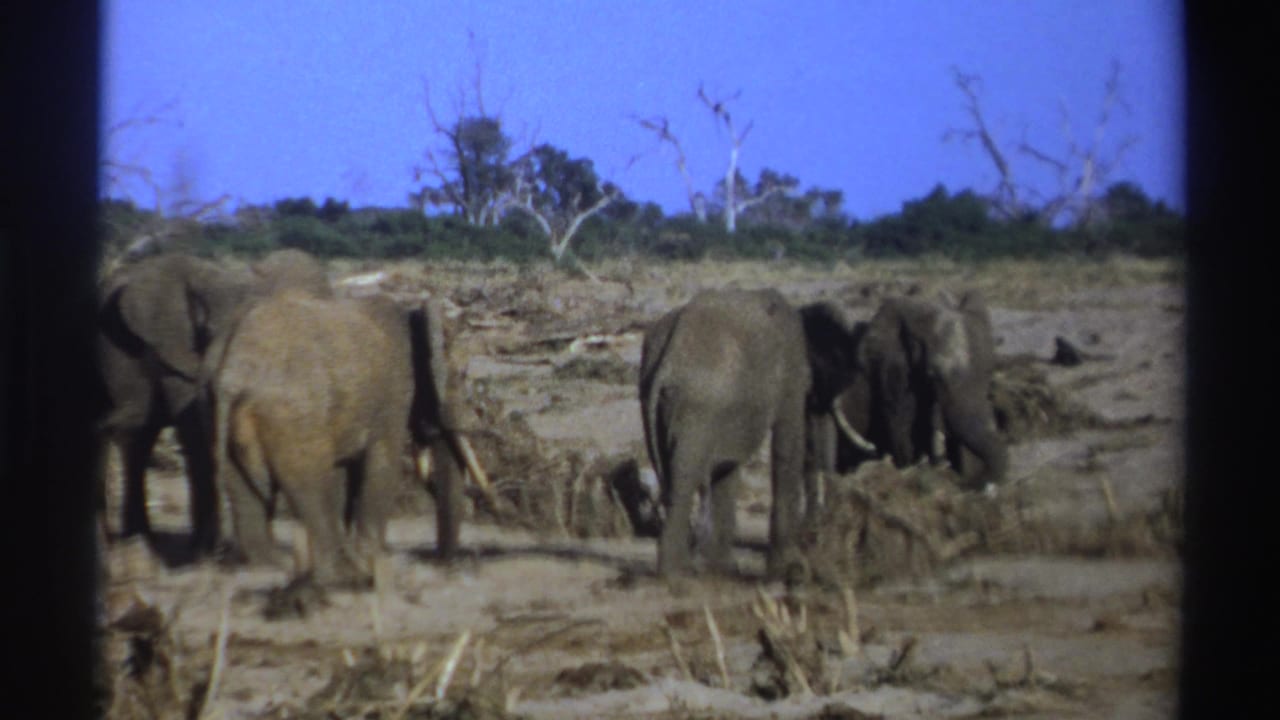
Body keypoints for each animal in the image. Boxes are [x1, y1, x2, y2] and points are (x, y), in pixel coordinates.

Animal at [94, 249, 331, 556]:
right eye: (210, 331)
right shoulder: (172, 351)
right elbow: (195, 429)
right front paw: (203, 550)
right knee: (135, 437)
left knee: (138, 440)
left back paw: (137, 539)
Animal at [205, 289, 471, 586]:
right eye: (460, 376)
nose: (443, 563)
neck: (412, 315)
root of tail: (234, 369)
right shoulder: (393, 393)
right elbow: (381, 465)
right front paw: (371, 558)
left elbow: (346, 473)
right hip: (293, 416)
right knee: (310, 484)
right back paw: (338, 574)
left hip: (214, 406)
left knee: (241, 486)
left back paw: (270, 566)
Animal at [638, 289, 866, 578]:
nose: (814, 534)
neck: (802, 313)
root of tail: (668, 358)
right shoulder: (790, 374)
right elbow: (788, 445)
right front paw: (783, 569)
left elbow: (728, 464)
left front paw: (722, 569)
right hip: (697, 406)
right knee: (685, 476)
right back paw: (677, 575)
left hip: (655, 400)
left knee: (674, 473)